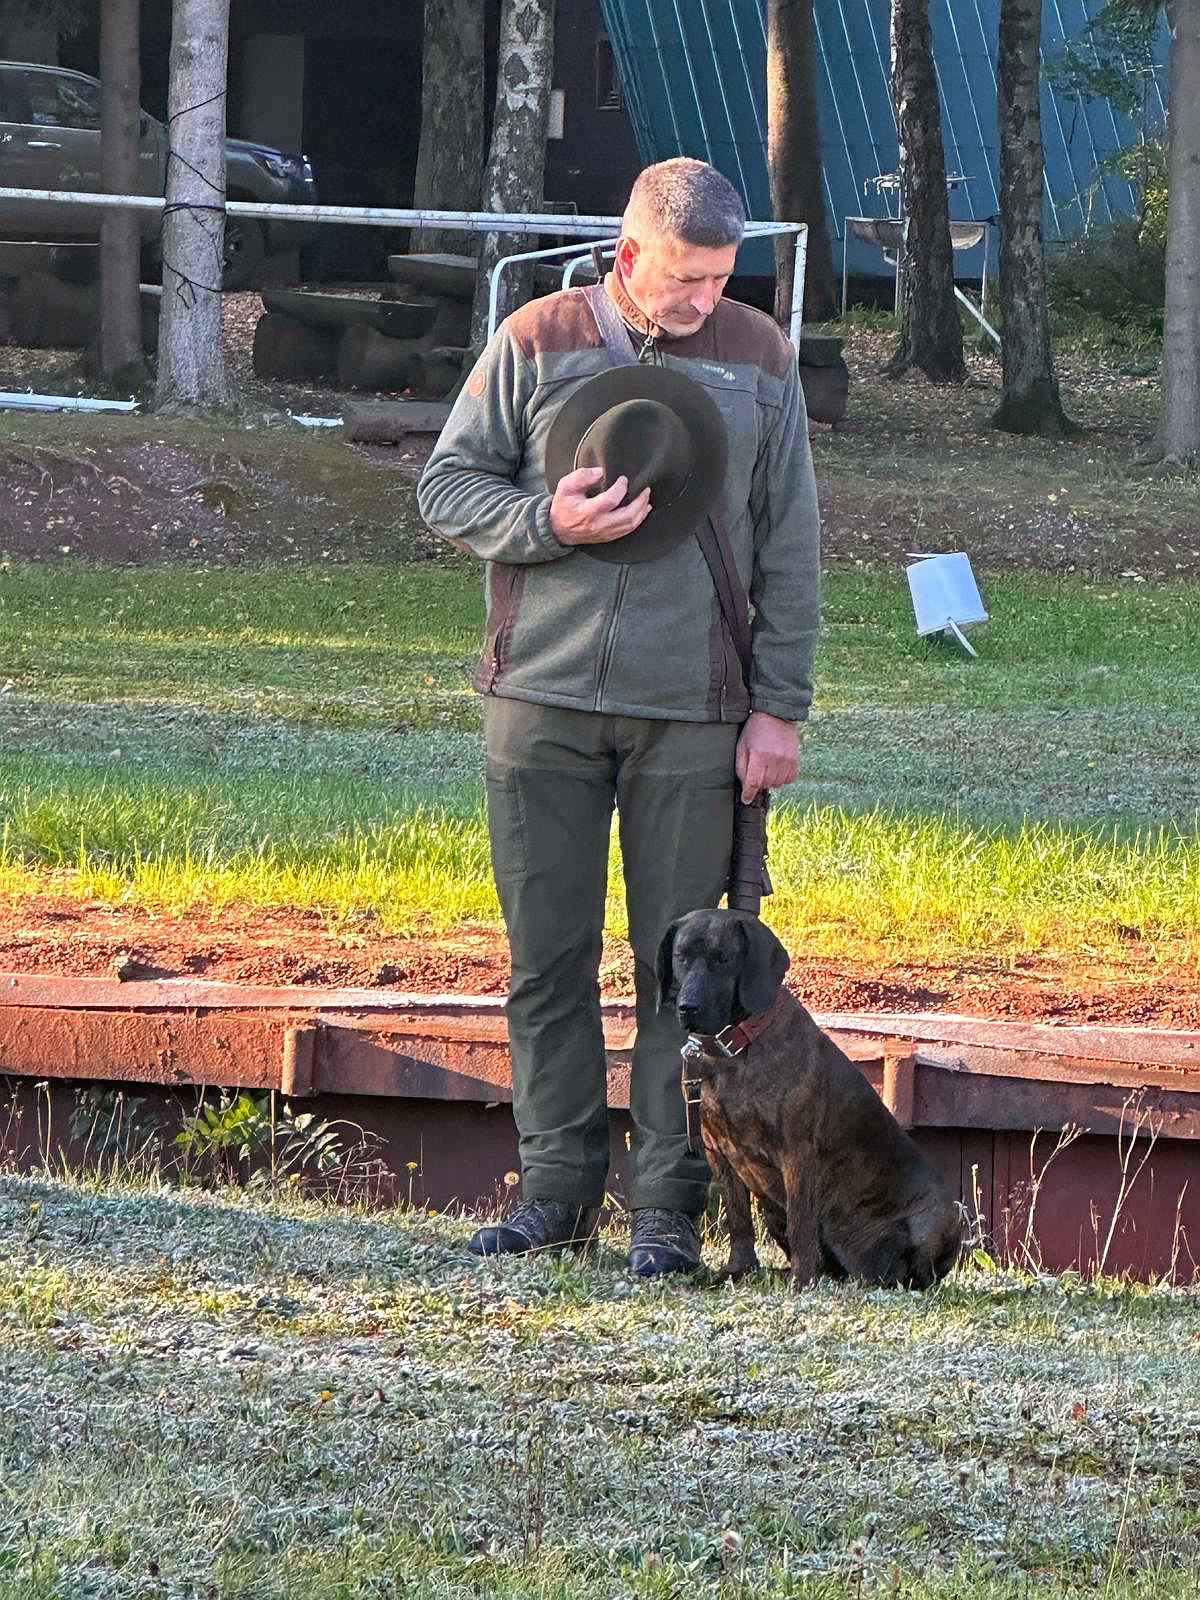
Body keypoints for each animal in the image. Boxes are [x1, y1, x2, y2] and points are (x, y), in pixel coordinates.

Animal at [656, 909, 961, 1290]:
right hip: (773, 1210)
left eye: (722, 959)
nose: (688, 1007)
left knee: (911, 1271)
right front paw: (738, 1270)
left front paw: (801, 1282)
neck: (736, 1049)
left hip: (943, 1214)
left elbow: (801, 1222)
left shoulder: (796, 1153)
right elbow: (739, 1220)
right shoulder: (719, 1152)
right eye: (681, 956)